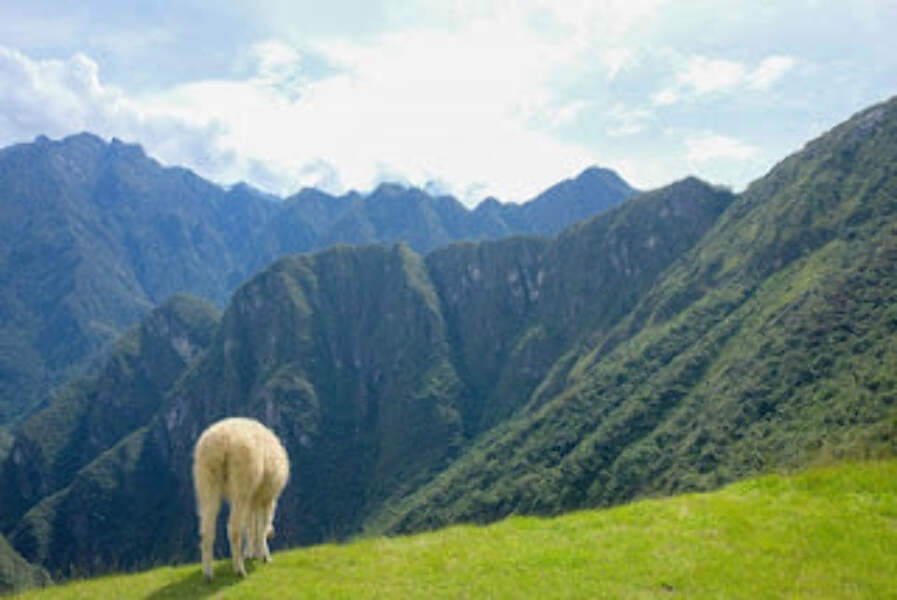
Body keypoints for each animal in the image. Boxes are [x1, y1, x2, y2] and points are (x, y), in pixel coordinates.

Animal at [192, 417, 290, 580]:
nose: (273, 534)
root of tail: (222, 442)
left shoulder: (254, 499)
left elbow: (250, 526)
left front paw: (250, 553)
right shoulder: (265, 498)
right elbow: (260, 527)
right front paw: (264, 556)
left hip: (207, 480)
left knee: (207, 529)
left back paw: (208, 573)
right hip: (242, 480)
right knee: (234, 528)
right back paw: (239, 570)